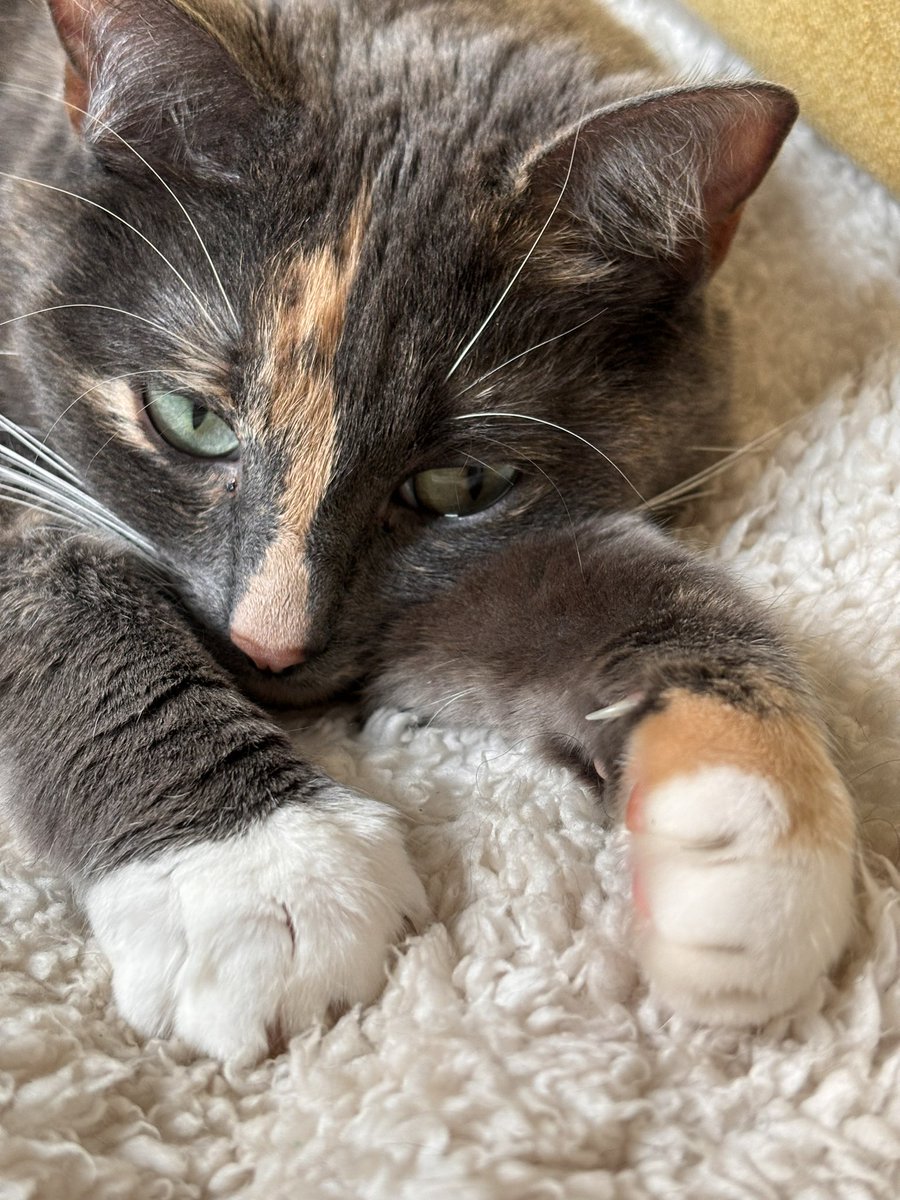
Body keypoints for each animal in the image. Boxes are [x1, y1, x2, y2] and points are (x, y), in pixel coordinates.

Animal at [0, 0, 859, 1065]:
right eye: (189, 418)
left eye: (461, 483)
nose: (268, 648)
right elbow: (59, 586)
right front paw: (257, 880)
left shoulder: (475, 565)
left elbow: (639, 593)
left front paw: (749, 854)